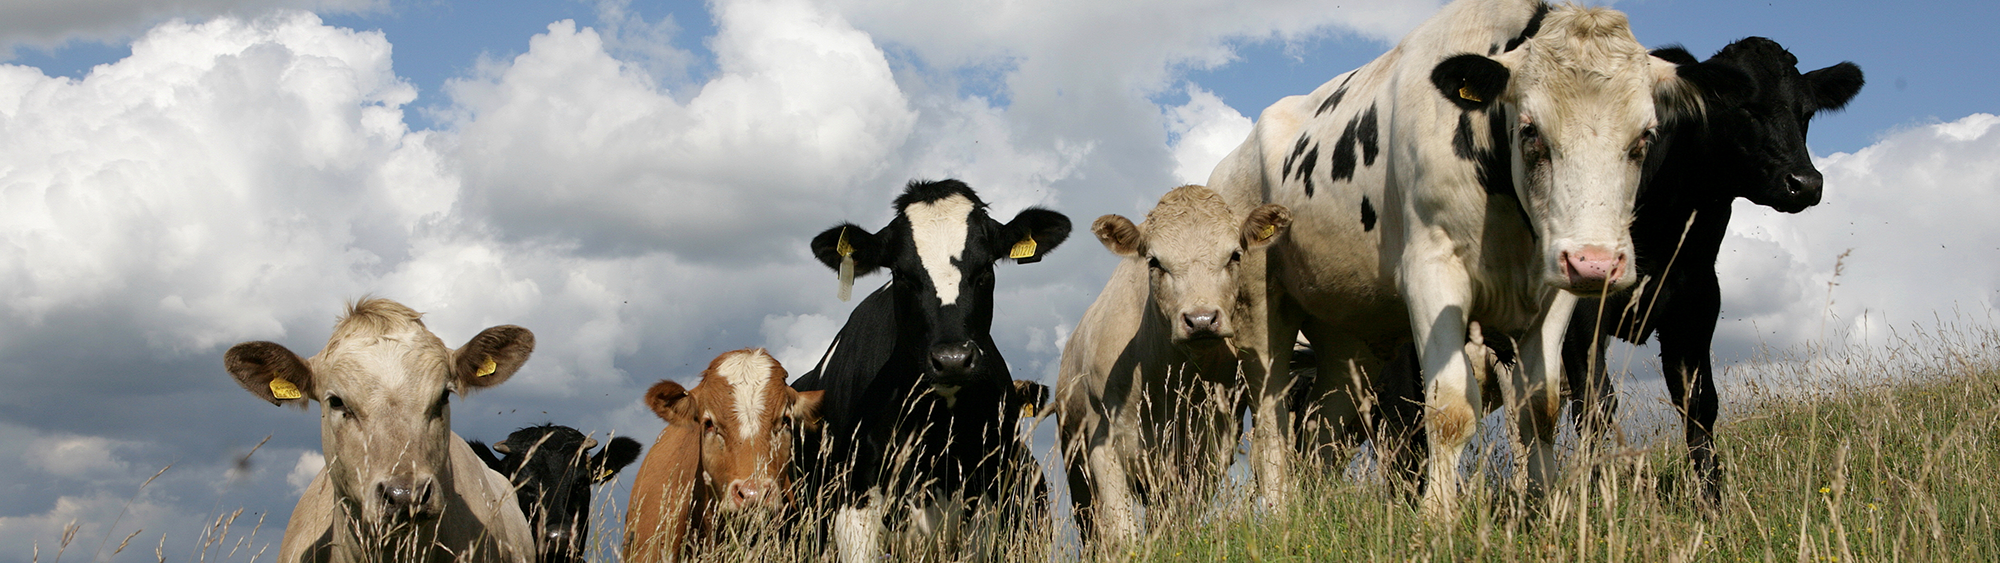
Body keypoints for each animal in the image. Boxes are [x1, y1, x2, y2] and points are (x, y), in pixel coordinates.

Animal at [1053, 185, 1291, 547]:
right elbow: (1121, 533)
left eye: (1235, 255)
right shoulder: (1102, 447)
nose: (1201, 320)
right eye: (1155, 261)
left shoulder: (1205, 452)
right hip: (1076, 466)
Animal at [1204, 0, 1748, 520]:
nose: (1594, 263)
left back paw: (1309, 513)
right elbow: (1448, 408)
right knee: (1271, 421)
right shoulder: (1432, 273)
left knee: (1324, 425)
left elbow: (1540, 408)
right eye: (1530, 130)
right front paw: (1436, 516)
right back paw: (1279, 514)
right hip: (1261, 318)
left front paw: (1545, 506)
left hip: (1346, 333)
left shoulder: (1554, 295)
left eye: (1645, 137)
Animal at [1561, 37, 1863, 507]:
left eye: (1807, 112)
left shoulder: (1696, 306)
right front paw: (1591, 503)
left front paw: (1712, 504)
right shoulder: (1580, 313)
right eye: (1743, 106)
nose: (1805, 183)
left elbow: (1700, 405)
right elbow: (1594, 404)